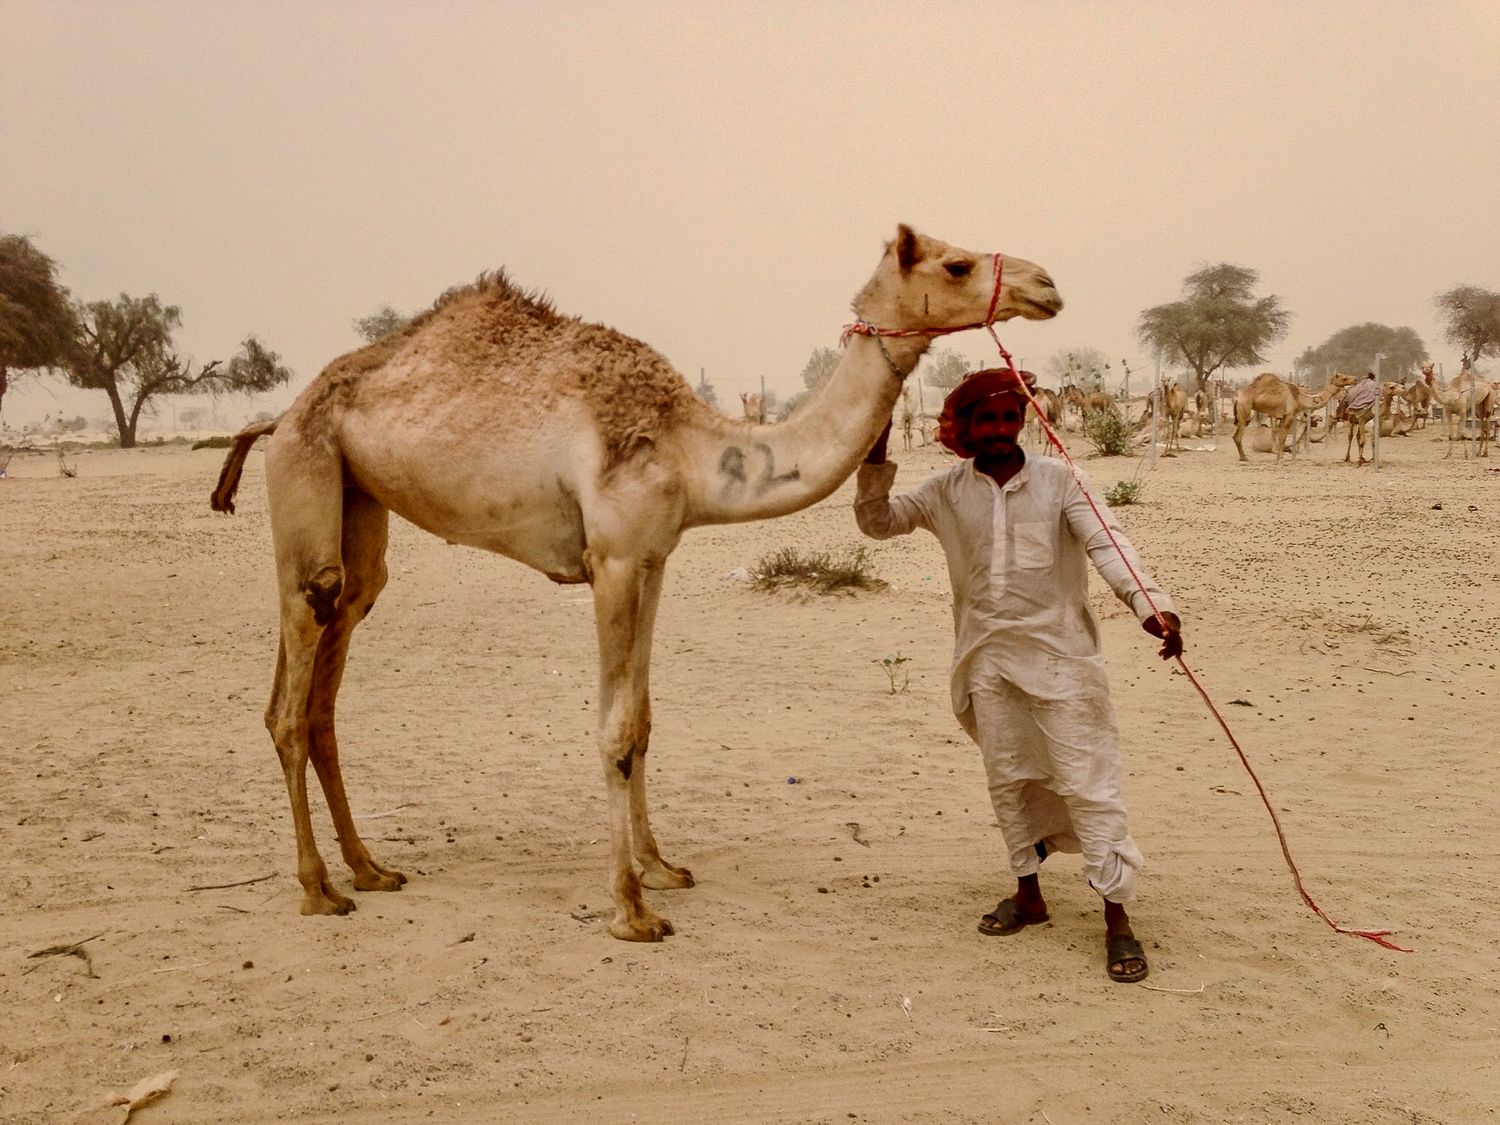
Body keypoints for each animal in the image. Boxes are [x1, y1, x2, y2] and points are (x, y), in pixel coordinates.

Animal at [208, 225, 1061, 941]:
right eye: (956, 263)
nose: (1047, 284)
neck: (695, 449)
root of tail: (279, 415)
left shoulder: (654, 561)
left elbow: (644, 722)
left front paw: (662, 867)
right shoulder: (612, 560)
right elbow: (614, 732)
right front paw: (631, 907)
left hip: (358, 504)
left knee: (329, 674)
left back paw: (370, 868)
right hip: (306, 478)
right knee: (290, 695)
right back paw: (318, 888)